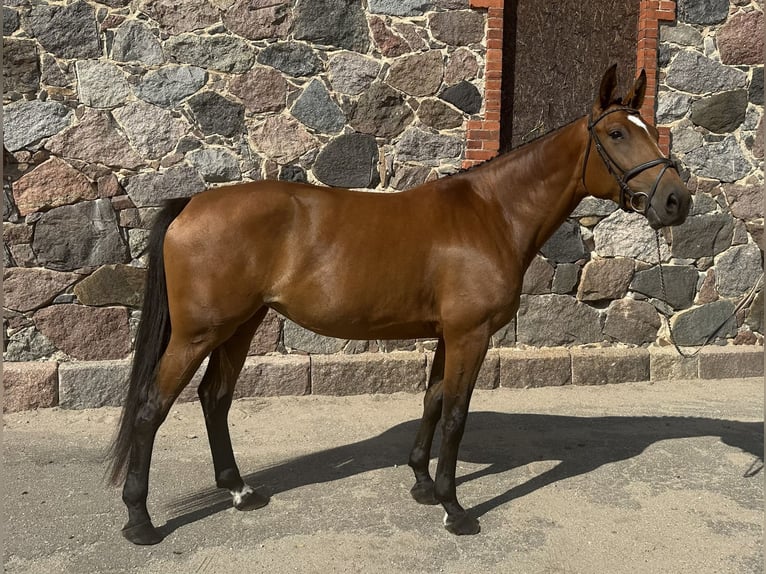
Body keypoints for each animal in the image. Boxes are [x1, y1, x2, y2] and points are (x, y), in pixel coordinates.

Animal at [106, 65, 691, 544]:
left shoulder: (449, 334)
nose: (676, 201)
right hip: (198, 334)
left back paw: (239, 491)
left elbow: (432, 402)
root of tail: (191, 204)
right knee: (152, 407)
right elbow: (455, 415)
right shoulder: (470, 335)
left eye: (649, 128)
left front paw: (423, 485)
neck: (493, 213)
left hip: (242, 325)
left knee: (215, 397)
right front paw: (455, 509)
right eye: (617, 133)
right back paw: (139, 520)